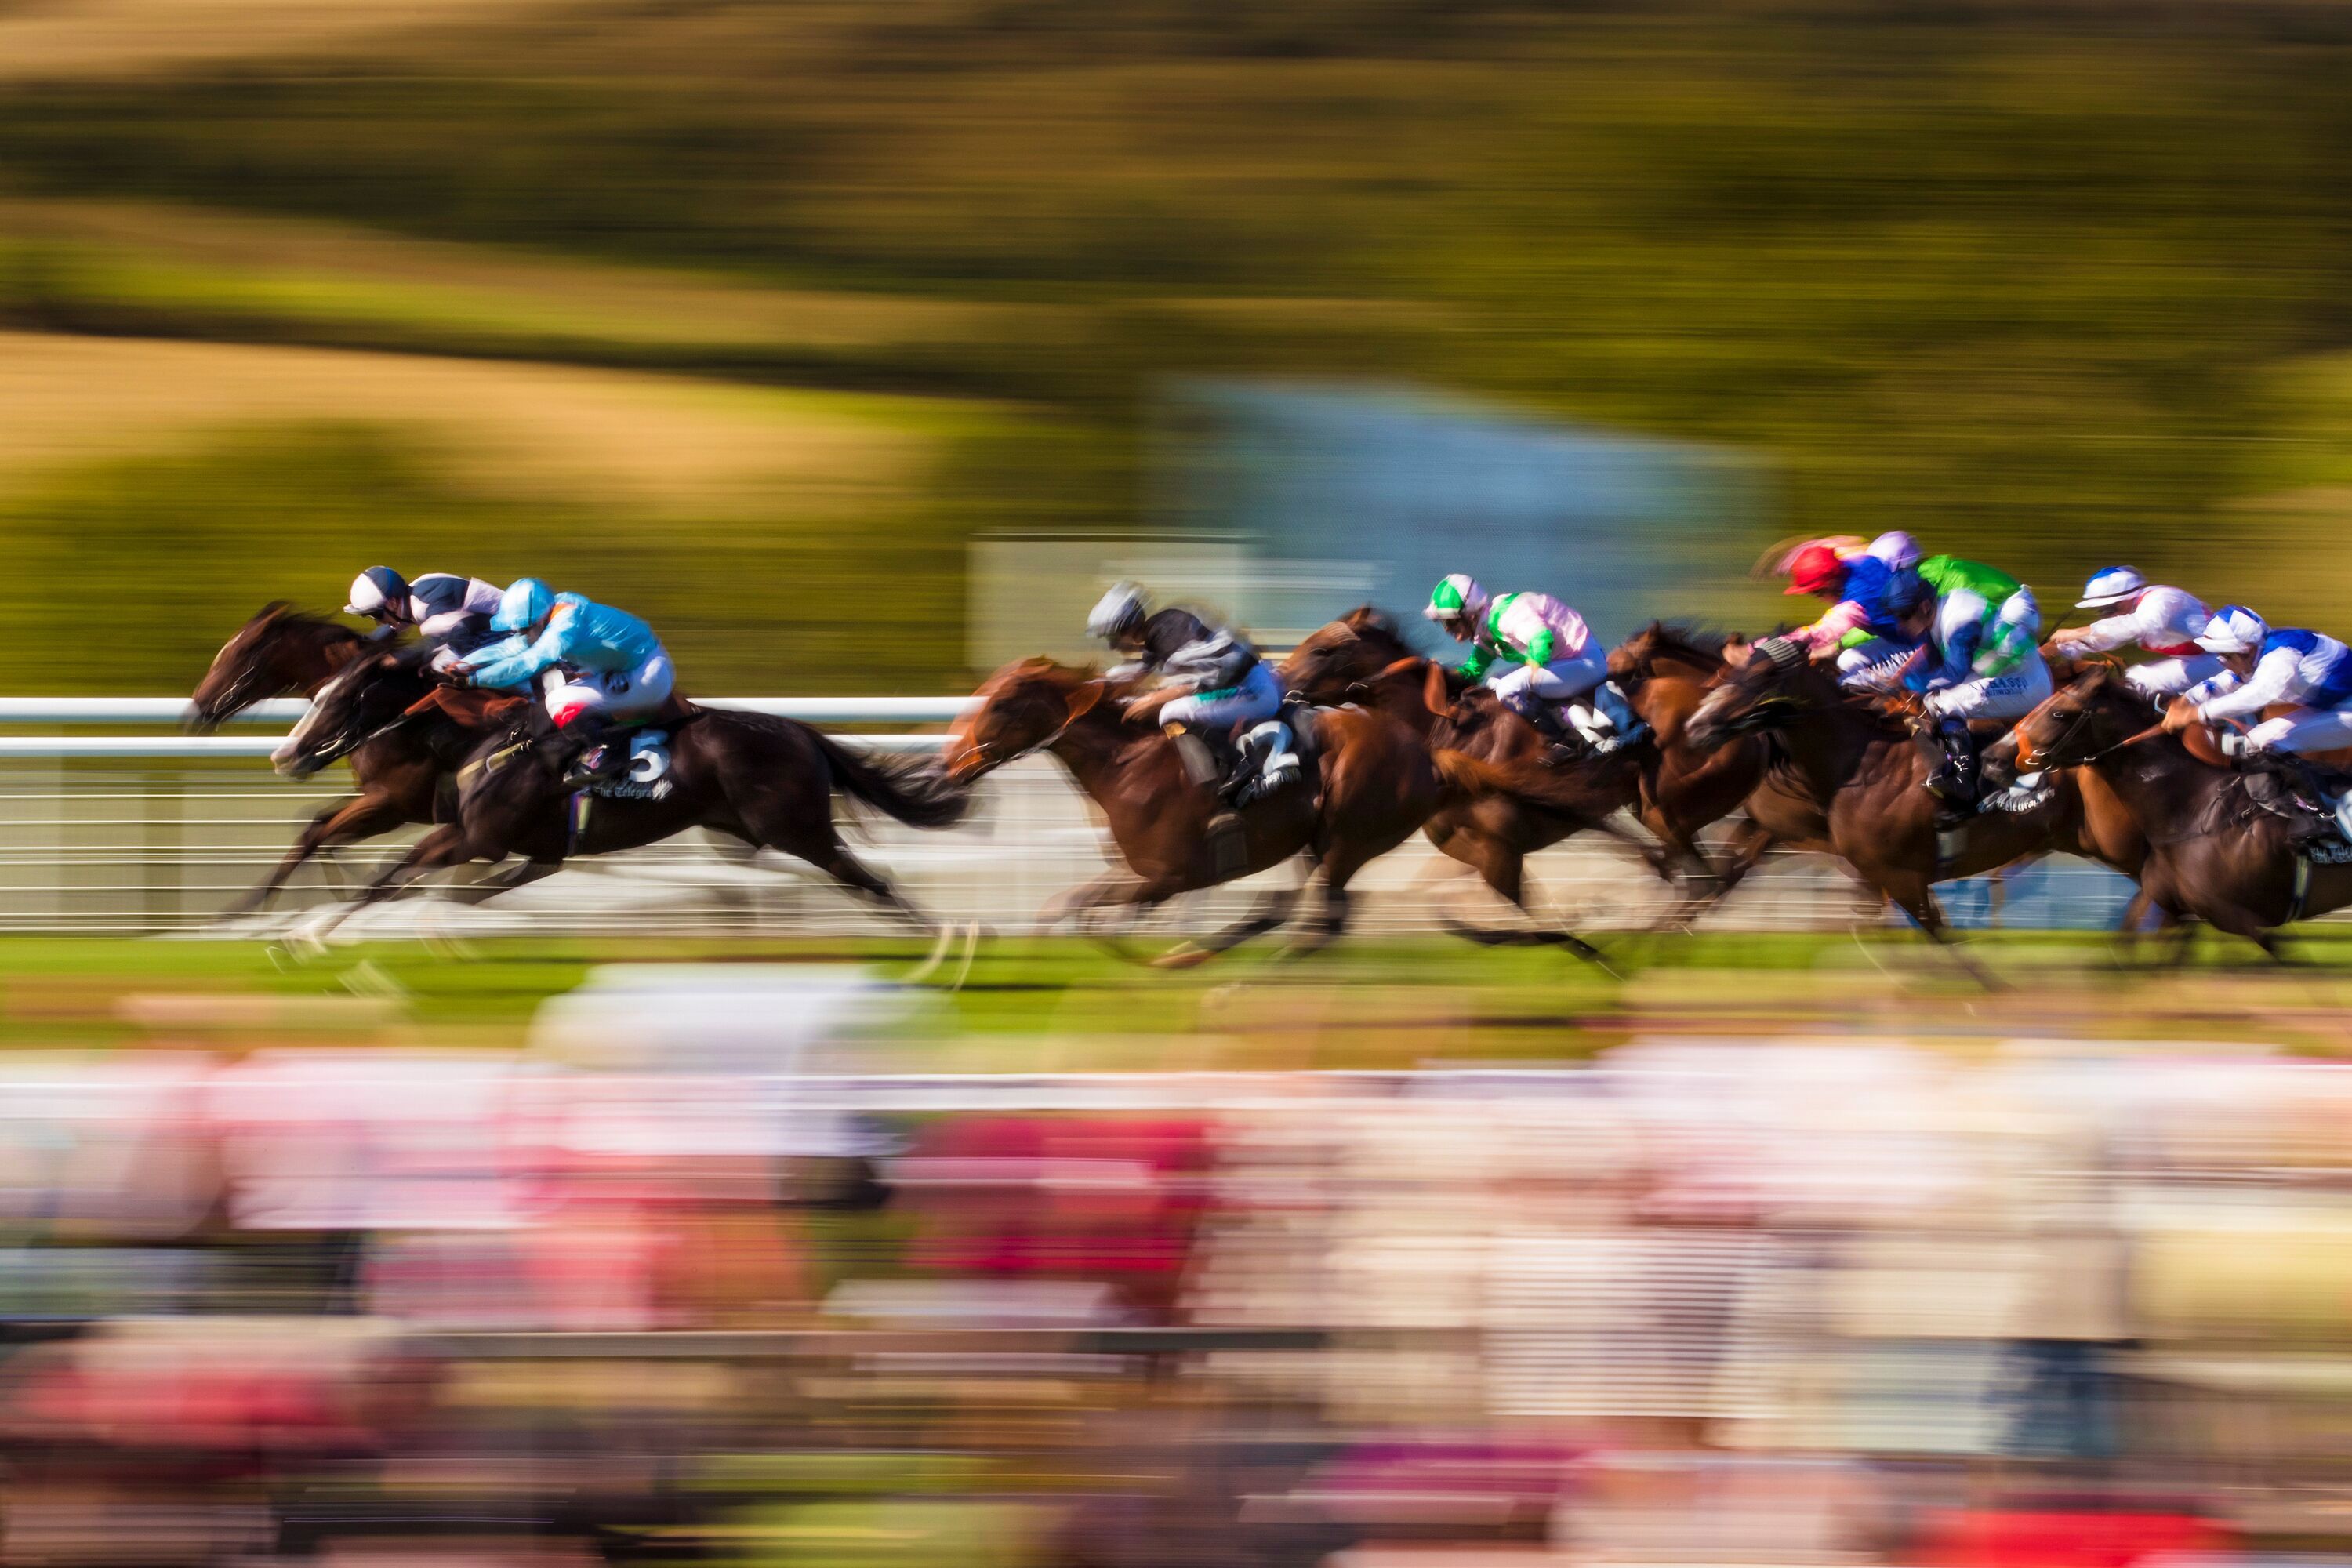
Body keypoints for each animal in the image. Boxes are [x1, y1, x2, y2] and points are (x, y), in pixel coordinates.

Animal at [946, 653, 1439, 968]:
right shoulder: (1137, 869)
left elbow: (1095, 922)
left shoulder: (1171, 875)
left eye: (999, 705)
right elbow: (1065, 907)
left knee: (1319, 923)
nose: (950, 763)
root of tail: (1422, 750)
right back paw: (1195, 956)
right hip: (1313, 844)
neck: (1125, 766)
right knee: (1287, 909)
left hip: (1346, 840)